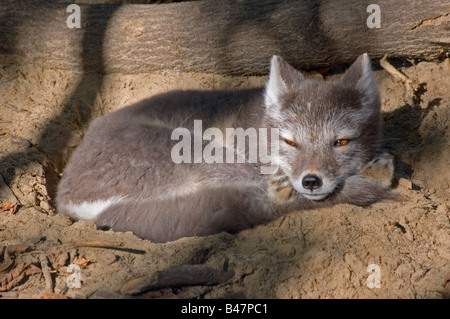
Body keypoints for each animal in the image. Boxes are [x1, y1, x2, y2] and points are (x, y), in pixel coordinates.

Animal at [55, 54, 394, 242]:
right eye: (290, 142)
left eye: (341, 142)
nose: (311, 181)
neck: (257, 128)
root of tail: (68, 201)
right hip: (202, 152)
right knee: (264, 200)